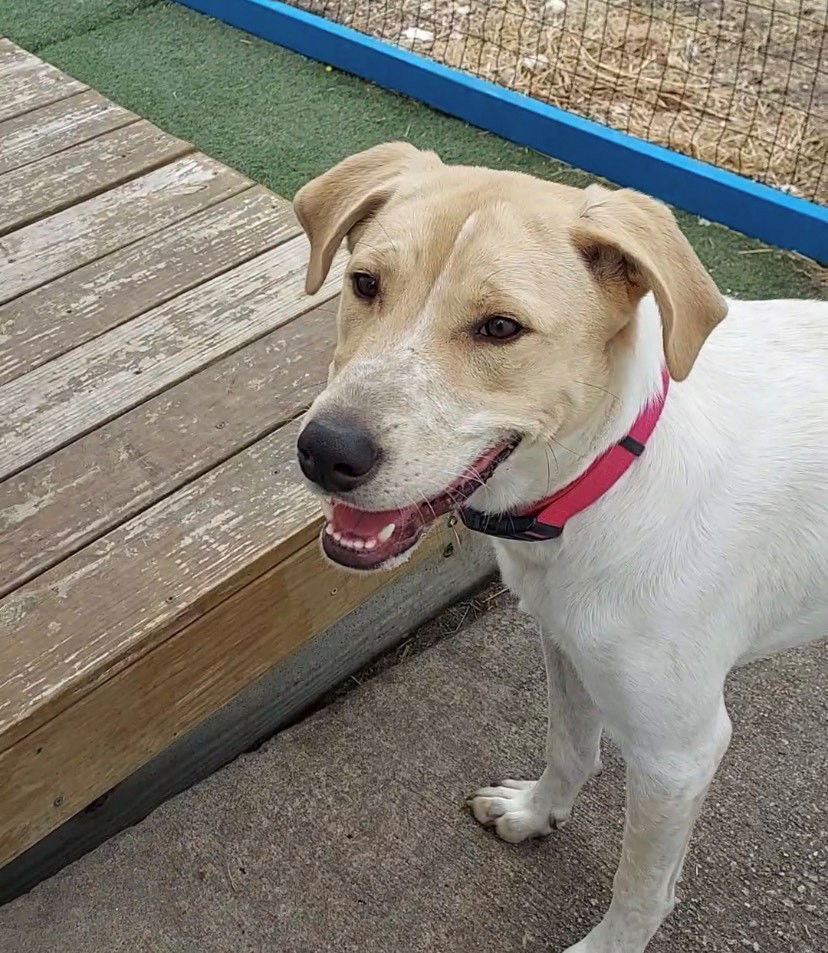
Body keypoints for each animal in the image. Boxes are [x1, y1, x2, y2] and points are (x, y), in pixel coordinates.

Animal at [292, 143, 828, 952]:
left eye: (500, 328)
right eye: (365, 284)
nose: (325, 452)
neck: (610, 474)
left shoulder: (681, 751)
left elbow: (641, 886)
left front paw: (607, 945)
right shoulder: (567, 645)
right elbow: (570, 745)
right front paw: (536, 814)